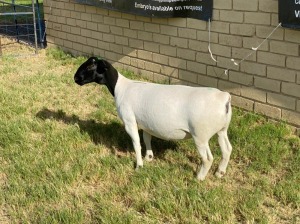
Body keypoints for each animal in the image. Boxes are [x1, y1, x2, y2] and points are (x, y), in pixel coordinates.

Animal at [74, 57, 233, 180]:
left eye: (91, 66)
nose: (75, 78)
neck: (121, 87)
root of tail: (224, 98)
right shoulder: (145, 123)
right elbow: (146, 139)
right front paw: (149, 158)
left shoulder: (130, 121)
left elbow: (136, 144)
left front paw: (139, 166)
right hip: (221, 130)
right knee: (227, 149)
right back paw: (220, 172)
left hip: (200, 134)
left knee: (208, 158)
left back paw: (199, 178)